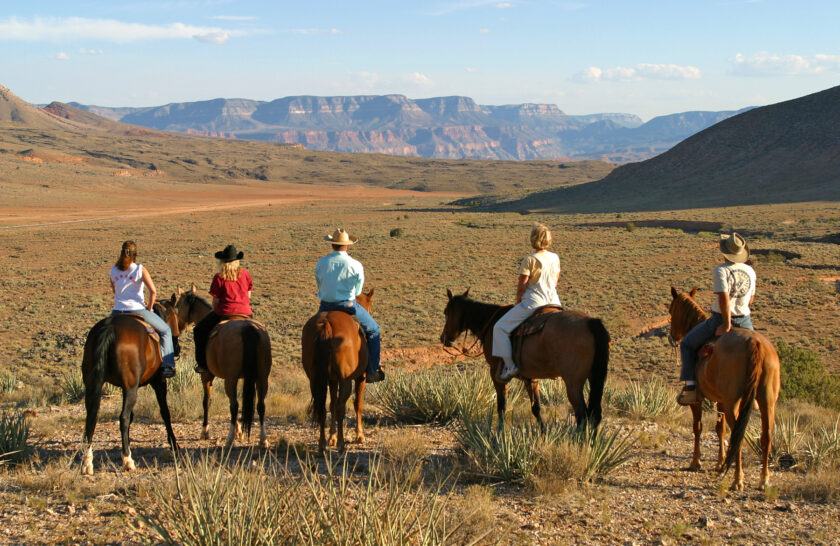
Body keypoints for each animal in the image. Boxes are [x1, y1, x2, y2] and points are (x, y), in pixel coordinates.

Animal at [81, 298, 180, 472]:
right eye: (176, 316)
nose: (178, 348)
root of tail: (110, 328)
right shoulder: (158, 382)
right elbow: (165, 412)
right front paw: (173, 443)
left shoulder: (124, 387)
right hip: (132, 388)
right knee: (123, 417)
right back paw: (128, 460)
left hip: (93, 385)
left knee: (91, 417)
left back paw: (88, 462)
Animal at [174, 284, 272, 446]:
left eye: (178, 306)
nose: (178, 327)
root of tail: (248, 328)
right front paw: (240, 431)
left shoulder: (207, 376)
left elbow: (207, 401)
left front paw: (205, 432)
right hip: (262, 377)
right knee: (261, 405)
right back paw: (263, 439)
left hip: (231, 378)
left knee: (234, 405)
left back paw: (230, 439)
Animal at [298, 288, 370, 450]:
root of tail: (327, 324)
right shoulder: (360, 377)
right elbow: (358, 404)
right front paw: (359, 435)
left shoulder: (331, 380)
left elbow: (331, 404)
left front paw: (332, 437)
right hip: (345, 380)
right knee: (340, 408)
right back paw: (342, 446)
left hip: (315, 379)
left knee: (322, 407)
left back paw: (322, 446)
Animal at [440, 288, 612, 430]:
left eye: (446, 312)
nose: (443, 338)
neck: (489, 322)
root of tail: (591, 322)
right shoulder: (531, 377)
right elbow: (536, 407)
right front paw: (543, 434)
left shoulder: (495, 373)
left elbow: (501, 405)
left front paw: (500, 434)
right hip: (594, 377)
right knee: (595, 415)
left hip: (573, 384)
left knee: (582, 416)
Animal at [668, 284, 780, 488]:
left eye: (671, 310)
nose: (672, 337)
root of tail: (755, 343)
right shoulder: (719, 401)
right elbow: (720, 429)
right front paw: (720, 464)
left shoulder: (698, 401)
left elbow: (698, 427)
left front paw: (695, 462)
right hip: (767, 401)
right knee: (766, 436)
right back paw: (764, 479)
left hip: (733, 403)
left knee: (739, 436)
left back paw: (738, 479)